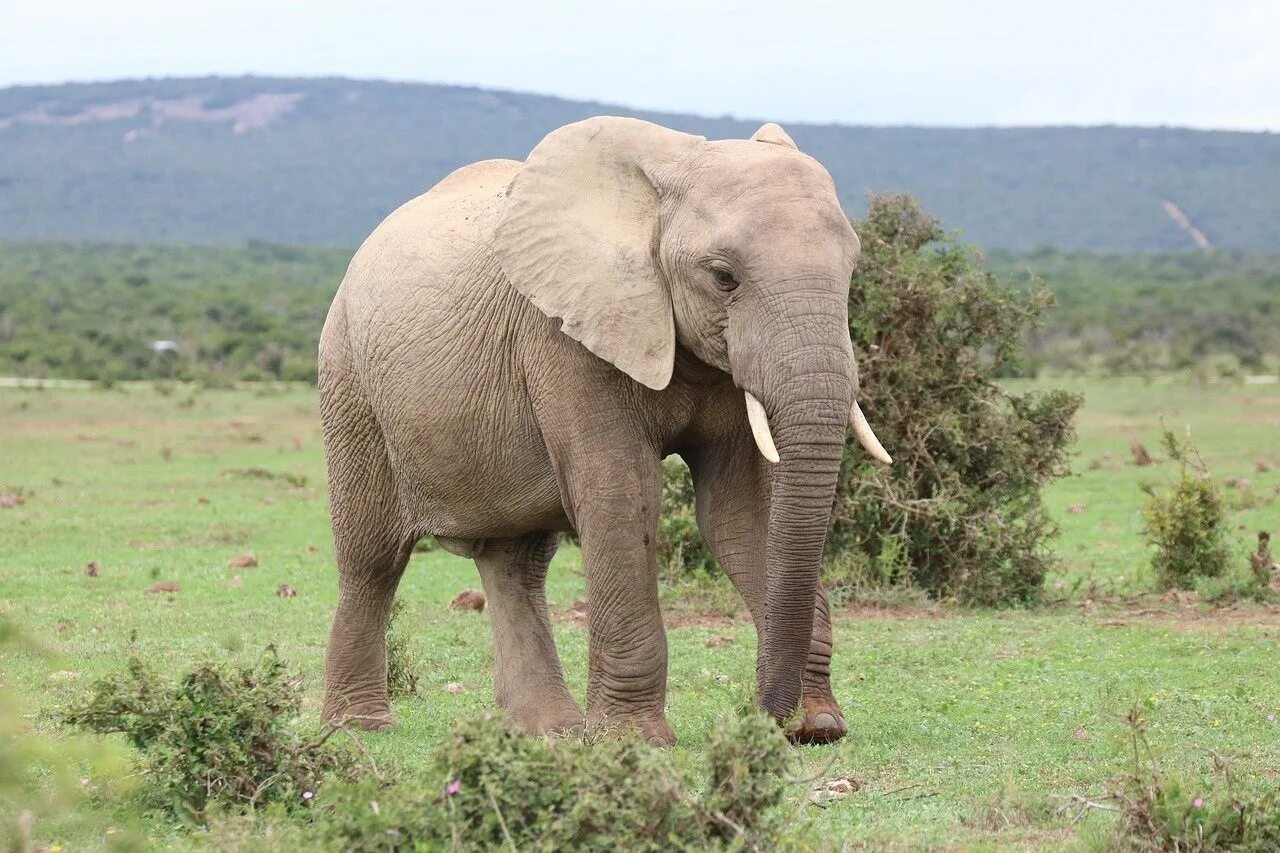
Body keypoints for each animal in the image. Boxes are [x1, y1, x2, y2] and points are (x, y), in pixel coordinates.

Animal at [317, 114, 890, 742]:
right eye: (723, 277)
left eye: (854, 271)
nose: (768, 715)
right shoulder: (564, 336)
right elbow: (623, 497)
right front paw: (634, 741)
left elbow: (739, 512)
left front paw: (819, 724)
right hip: (348, 377)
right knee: (372, 556)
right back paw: (359, 725)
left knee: (516, 563)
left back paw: (550, 730)